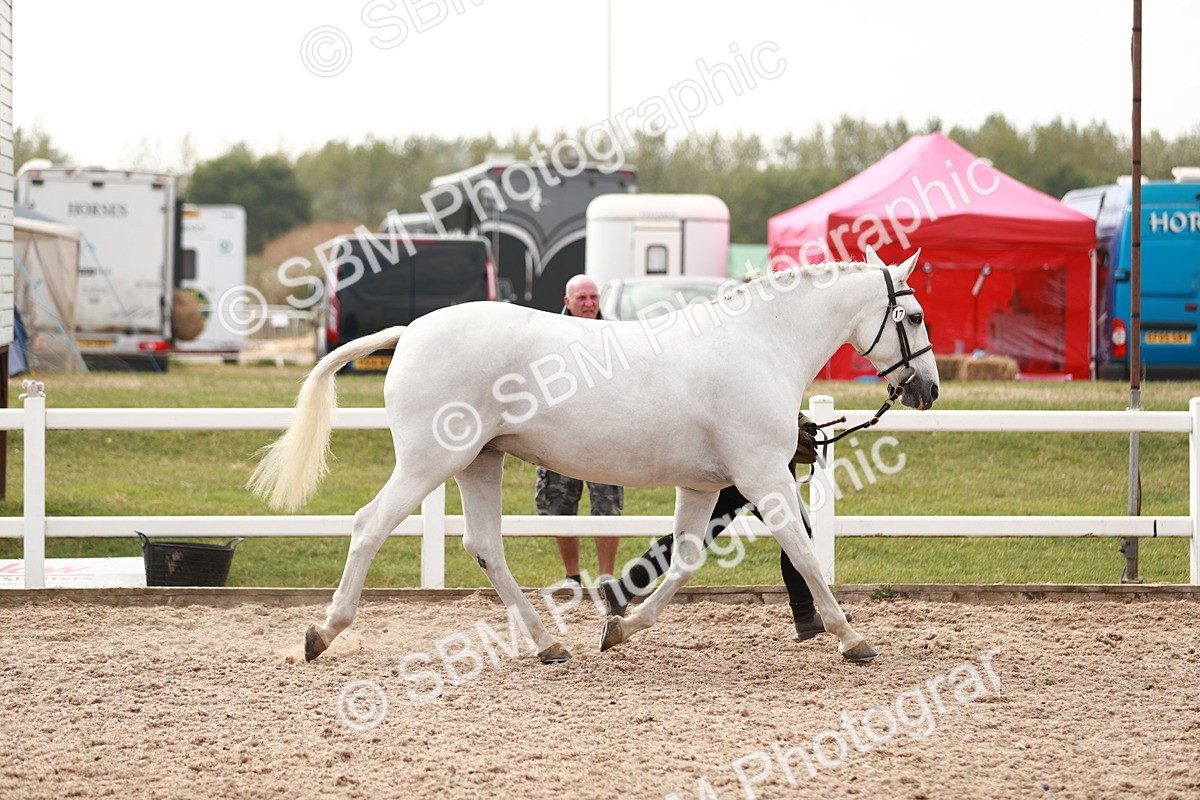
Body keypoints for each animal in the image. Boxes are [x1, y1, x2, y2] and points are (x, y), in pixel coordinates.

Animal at [249, 246, 939, 664]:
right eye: (913, 315)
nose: (927, 390)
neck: (757, 345)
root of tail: (411, 330)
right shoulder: (762, 476)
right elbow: (803, 553)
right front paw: (852, 638)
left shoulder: (704, 486)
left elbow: (684, 562)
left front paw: (620, 627)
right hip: (430, 462)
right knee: (369, 526)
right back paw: (322, 633)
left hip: (479, 462)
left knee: (485, 545)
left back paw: (548, 644)